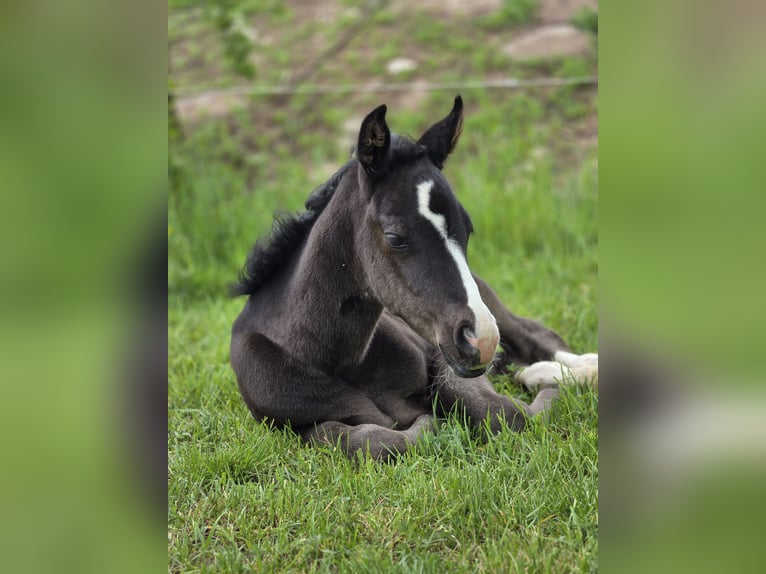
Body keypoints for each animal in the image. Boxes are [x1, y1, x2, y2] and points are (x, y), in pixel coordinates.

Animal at [230, 96, 597, 459]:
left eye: (468, 228)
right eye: (395, 238)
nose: (482, 338)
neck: (337, 362)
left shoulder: (444, 357)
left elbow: (503, 414)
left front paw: (550, 388)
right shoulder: (292, 427)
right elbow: (366, 439)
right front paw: (422, 421)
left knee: (540, 337)